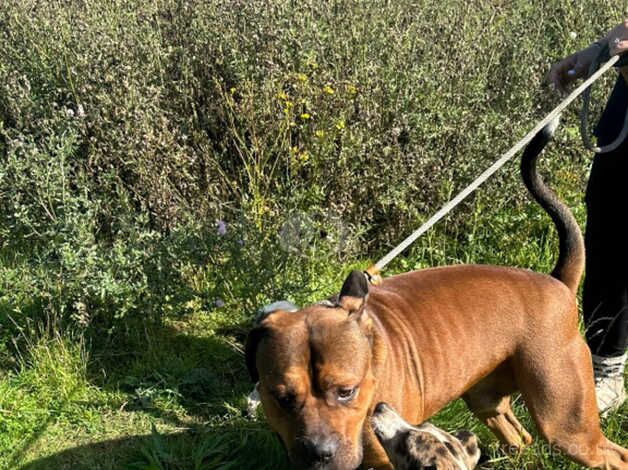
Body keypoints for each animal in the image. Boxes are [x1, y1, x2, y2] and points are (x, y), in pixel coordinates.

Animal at [247, 119, 628, 468]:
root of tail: (557, 283)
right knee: (519, 436)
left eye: (345, 391)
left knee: (613, 454)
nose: (319, 453)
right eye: (281, 397)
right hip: (486, 397)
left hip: (566, 424)